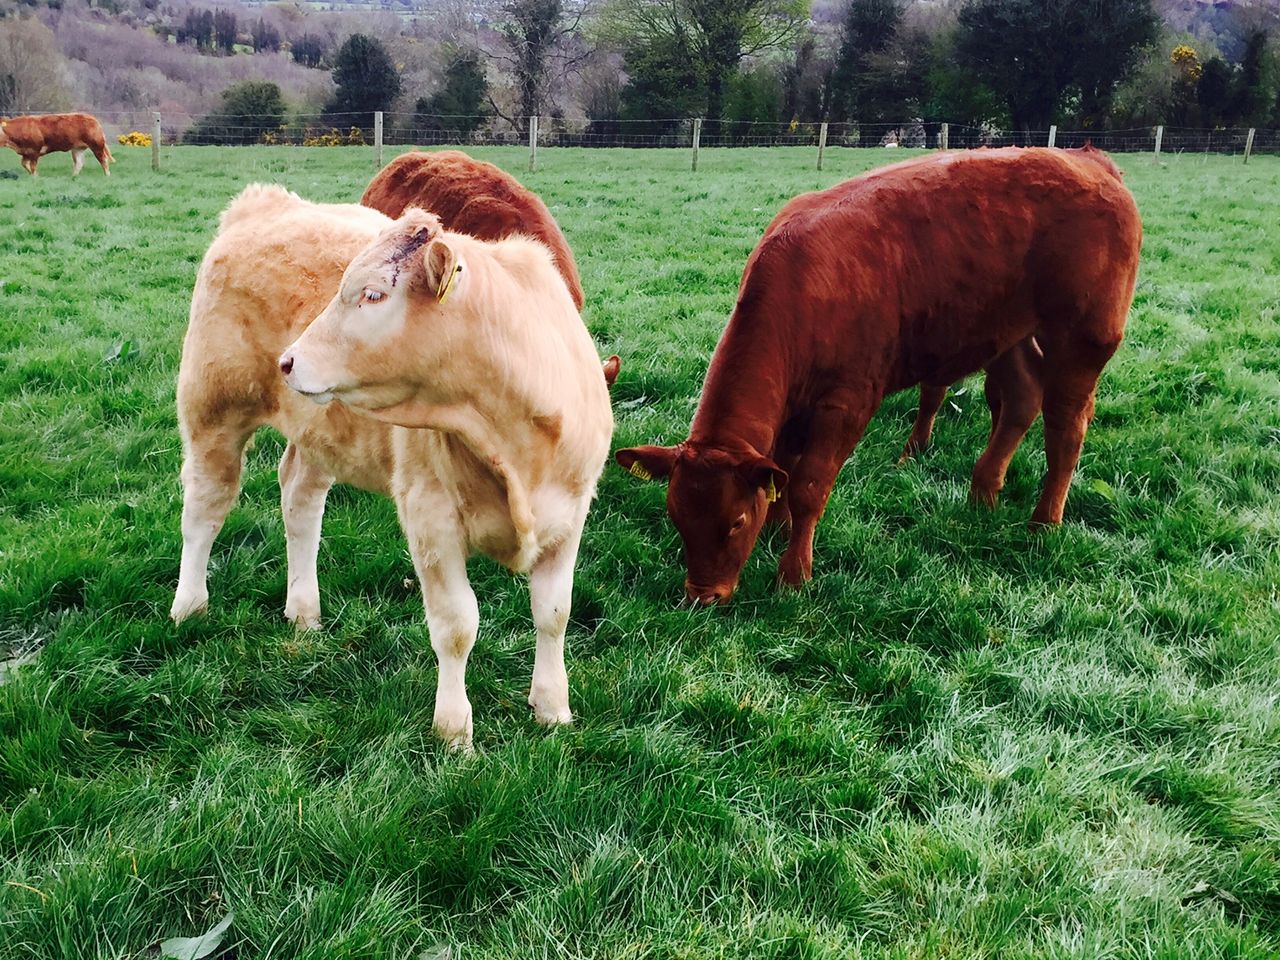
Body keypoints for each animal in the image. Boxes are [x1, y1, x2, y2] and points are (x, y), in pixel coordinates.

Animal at [171, 185, 614, 749]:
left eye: (374, 294)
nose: (288, 361)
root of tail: (264, 202)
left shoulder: (570, 514)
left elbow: (554, 614)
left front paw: (553, 708)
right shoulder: (430, 516)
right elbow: (456, 625)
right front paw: (454, 730)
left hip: (320, 433)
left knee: (300, 501)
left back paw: (304, 611)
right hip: (213, 409)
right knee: (205, 509)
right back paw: (189, 606)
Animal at [616, 146, 1141, 605]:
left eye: (736, 522)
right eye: (677, 519)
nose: (703, 596)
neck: (802, 291)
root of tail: (1088, 159)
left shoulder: (846, 402)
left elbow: (809, 485)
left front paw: (794, 573)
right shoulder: (792, 407)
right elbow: (782, 466)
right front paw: (779, 530)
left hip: (1082, 340)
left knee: (1066, 425)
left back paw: (1044, 522)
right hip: (1004, 331)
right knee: (1020, 400)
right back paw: (982, 494)